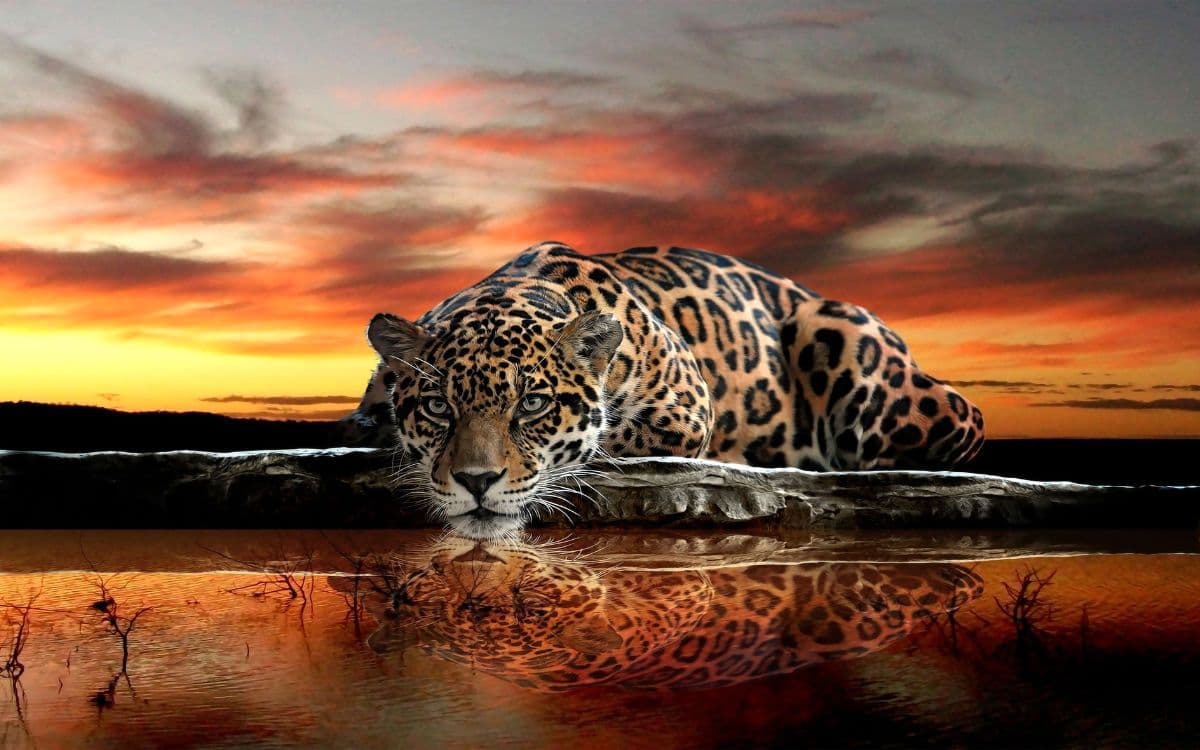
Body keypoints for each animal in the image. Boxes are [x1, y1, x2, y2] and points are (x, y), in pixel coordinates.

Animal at [349, 241, 984, 537]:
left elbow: (606, 438)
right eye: (438, 406)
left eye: (532, 405)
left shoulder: (685, 408)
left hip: (844, 338)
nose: (476, 482)